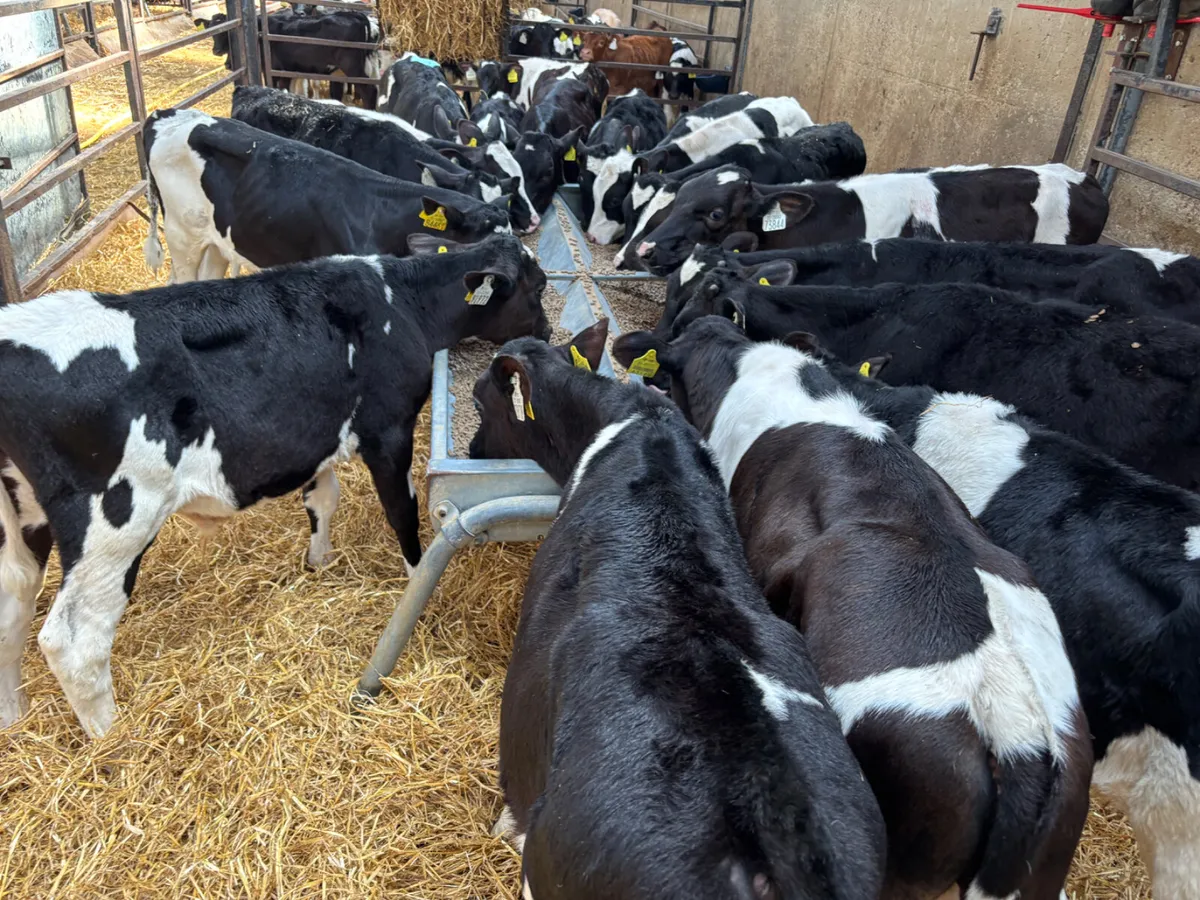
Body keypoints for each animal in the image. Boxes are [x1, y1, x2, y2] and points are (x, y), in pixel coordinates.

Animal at [0, 234, 549, 737]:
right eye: (539, 285)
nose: (545, 334)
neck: (401, 301)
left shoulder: (314, 431)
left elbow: (322, 497)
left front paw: (319, 560)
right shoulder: (388, 430)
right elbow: (402, 512)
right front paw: (415, 579)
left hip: (21, 515)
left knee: (12, 601)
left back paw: (14, 716)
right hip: (115, 521)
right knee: (75, 640)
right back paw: (112, 739)